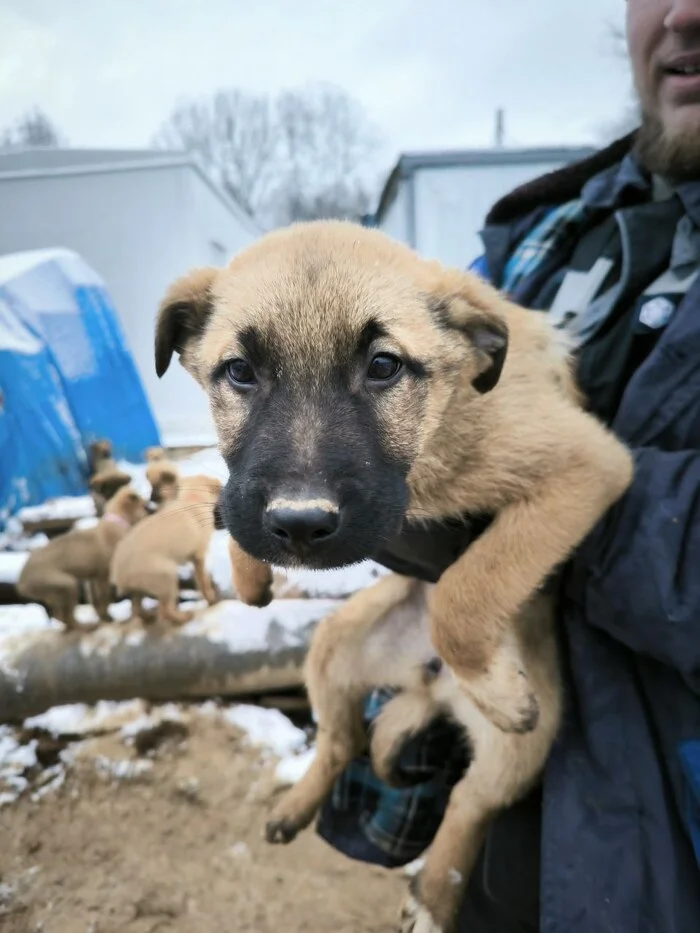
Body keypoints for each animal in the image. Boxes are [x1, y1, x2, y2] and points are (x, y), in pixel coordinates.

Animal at [17, 484, 149, 628]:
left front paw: (104, 617)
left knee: (59, 616)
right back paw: (84, 626)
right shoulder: (103, 576)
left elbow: (96, 600)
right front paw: (106, 617)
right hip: (66, 584)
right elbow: (104, 598)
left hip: (53, 593)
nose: (149, 513)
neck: (117, 520)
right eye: (144, 505)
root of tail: (22, 581)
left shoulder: (93, 578)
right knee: (66, 616)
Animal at [110, 474, 221, 628]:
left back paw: (148, 617)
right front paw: (211, 599)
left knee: (136, 609)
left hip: (139, 589)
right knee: (164, 611)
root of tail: (118, 574)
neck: (190, 499)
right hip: (166, 576)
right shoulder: (198, 556)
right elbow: (203, 581)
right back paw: (183, 618)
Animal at [154, 222, 636, 928]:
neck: (442, 426)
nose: (300, 526)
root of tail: (429, 687)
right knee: (339, 738)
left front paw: (494, 684)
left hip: (528, 742)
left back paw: (434, 894)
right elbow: (228, 492)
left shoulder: (589, 464)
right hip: (333, 646)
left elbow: (467, 584)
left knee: (469, 802)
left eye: (384, 366)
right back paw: (295, 808)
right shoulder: (250, 490)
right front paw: (250, 576)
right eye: (239, 372)